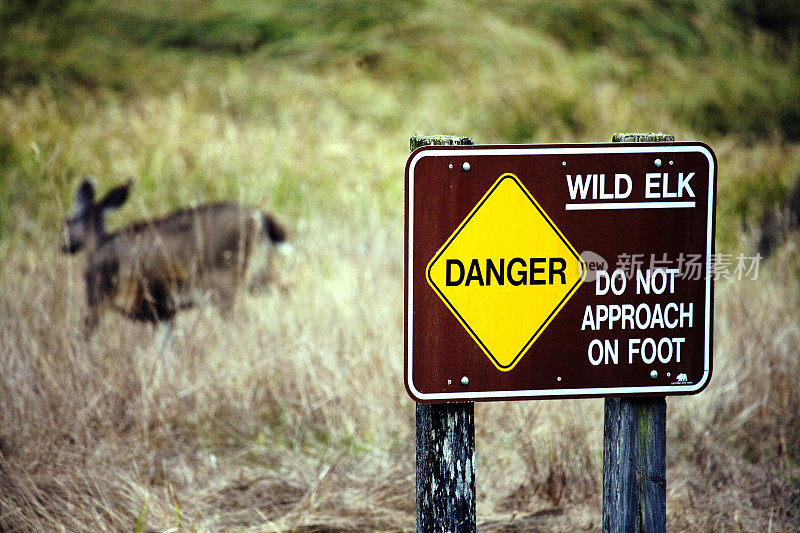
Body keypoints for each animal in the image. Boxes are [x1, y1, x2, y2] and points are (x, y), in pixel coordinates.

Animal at [62, 177, 288, 338]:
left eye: (67, 220)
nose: (64, 246)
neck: (98, 245)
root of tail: (260, 217)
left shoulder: (98, 296)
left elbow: (85, 338)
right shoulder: (165, 312)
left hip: (226, 285)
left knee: (247, 324)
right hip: (261, 276)